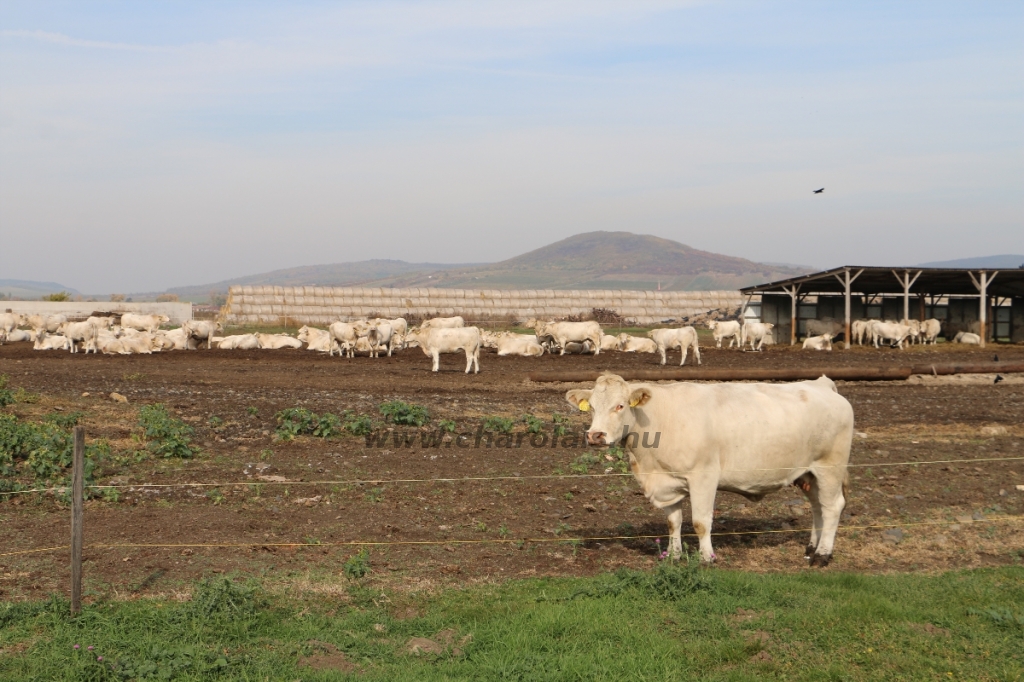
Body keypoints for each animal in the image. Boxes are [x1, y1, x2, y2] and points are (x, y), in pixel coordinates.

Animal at [569, 372, 856, 561]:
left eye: (620, 405)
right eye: (591, 407)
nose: (595, 435)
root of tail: (821, 384)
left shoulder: (703, 477)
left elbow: (700, 522)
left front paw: (707, 557)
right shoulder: (668, 480)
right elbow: (673, 521)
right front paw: (674, 556)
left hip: (830, 466)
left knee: (832, 507)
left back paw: (822, 555)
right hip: (809, 473)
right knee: (818, 507)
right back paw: (811, 548)